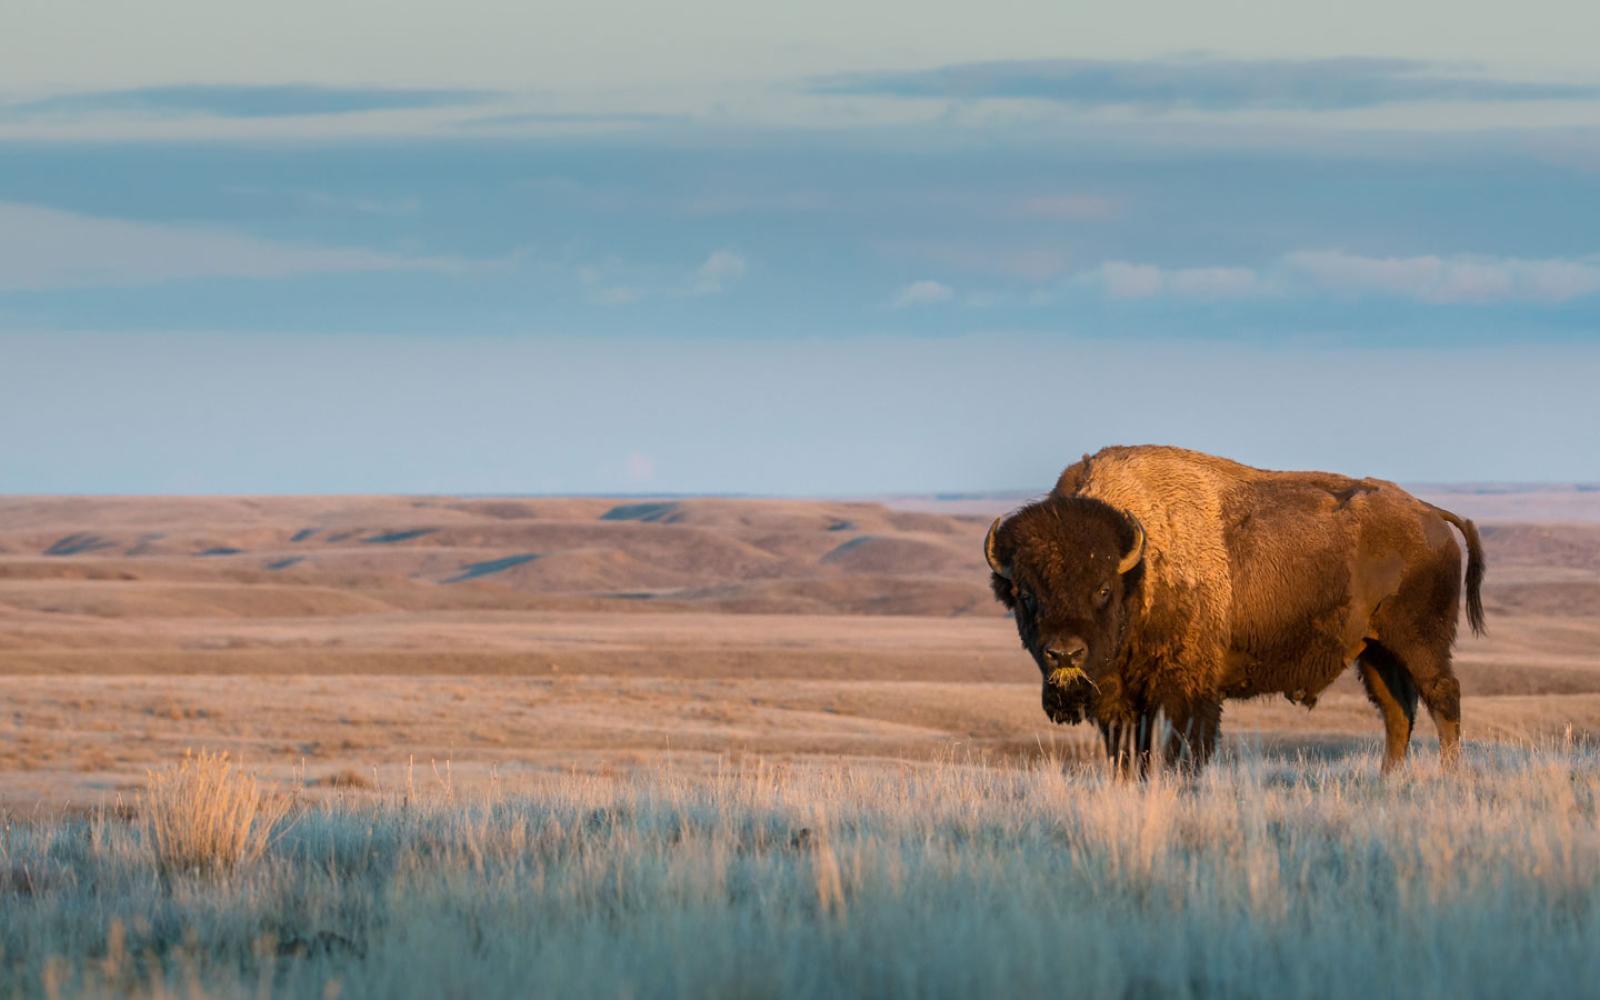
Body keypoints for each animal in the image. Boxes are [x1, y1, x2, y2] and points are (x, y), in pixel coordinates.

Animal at [985, 445, 1485, 775]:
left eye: (1102, 588)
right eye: (1025, 594)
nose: (1064, 654)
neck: (1141, 566)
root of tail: (1429, 513)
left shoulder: (1187, 691)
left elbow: (1183, 749)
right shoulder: (1122, 699)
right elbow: (1129, 753)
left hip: (1420, 641)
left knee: (1443, 697)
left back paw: (1448, 776)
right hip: (1375, 651)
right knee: (1397, 711)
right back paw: (1388, 780)